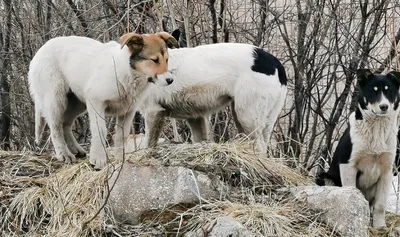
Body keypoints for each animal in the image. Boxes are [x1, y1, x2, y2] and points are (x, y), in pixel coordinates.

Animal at [316, 68, 400, 228]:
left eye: (389, 91)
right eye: (373, 91)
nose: (384, 107)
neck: (377, 130)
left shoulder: (387, 170)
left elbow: (380, 205)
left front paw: (379, 227)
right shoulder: (347, 165)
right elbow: (352, 194)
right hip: (324, 177)